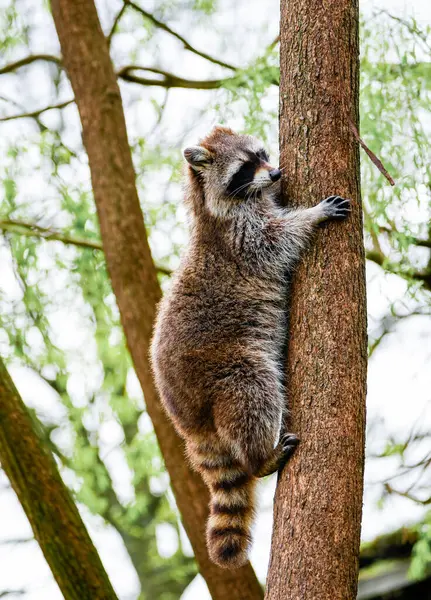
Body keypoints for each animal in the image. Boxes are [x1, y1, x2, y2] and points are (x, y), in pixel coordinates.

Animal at [151, 125, 352, 568]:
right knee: (254, 389)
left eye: (262, 155)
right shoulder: (241, 238)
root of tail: (187, 418)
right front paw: (310, 216)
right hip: (226, 367)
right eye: (244, 167)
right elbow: (275, 242)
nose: (275, 174)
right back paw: (261, 457)